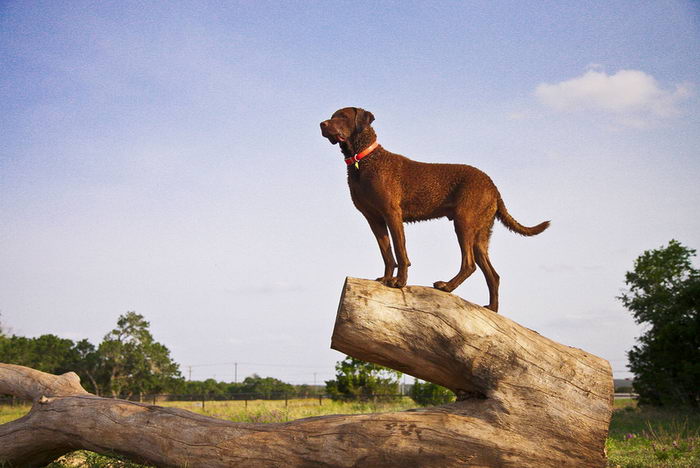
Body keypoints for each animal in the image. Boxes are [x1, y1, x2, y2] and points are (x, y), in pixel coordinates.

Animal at [320, 106, 548, 310]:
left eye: (343, 116)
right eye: (332, 115)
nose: (322, 124)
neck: (364, 160)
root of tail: (494, 187)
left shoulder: (392, 214)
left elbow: (400, 252)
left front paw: (399, 282)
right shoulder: (374, 219)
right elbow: (387, 253)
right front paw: (385, 278)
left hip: (464, 222)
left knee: (469, 264)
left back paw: (447, 286)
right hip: (481, 234)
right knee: (493, 275)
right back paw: (492, 308)